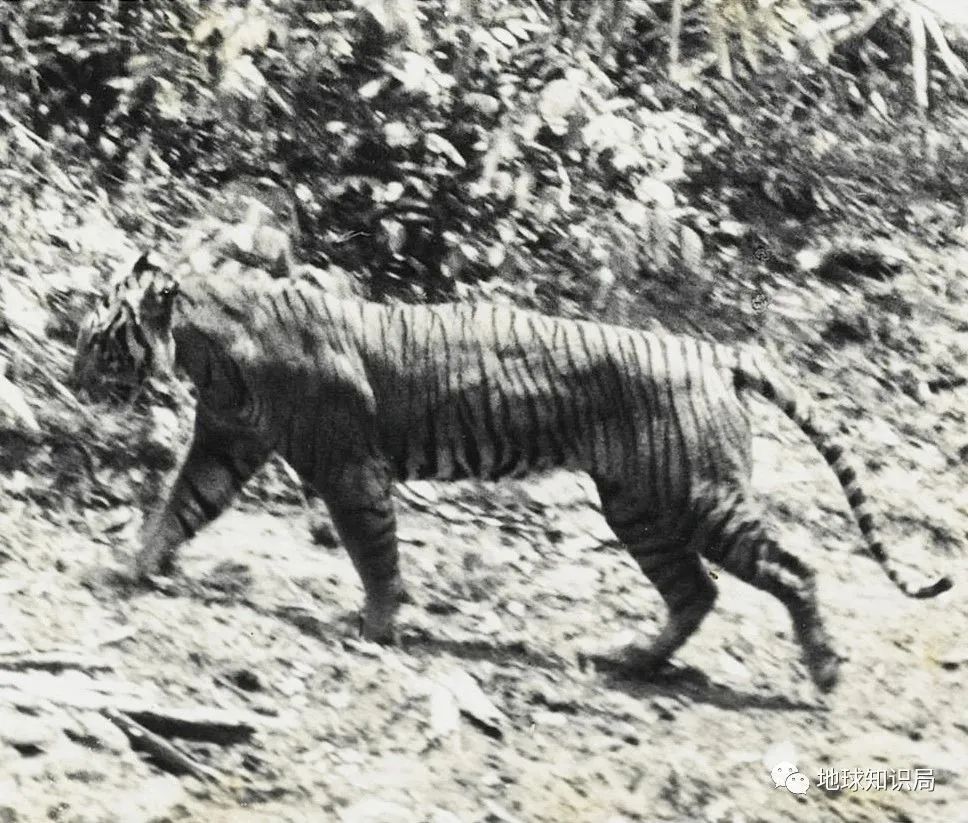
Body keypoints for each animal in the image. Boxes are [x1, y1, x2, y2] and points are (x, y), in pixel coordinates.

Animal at [73, 253, 952, 693]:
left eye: (97, 334)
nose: (74, 372)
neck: (206, 347)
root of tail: (711, 349)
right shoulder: (225, 444)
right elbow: (178, 508)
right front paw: (132, 567)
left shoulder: (348, 468)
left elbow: (373, 550)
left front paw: (377, 626)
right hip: (639, 506)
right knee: (694, 591)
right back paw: (633, 661)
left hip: (701, 497)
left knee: (793, 567)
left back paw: (826, 670)